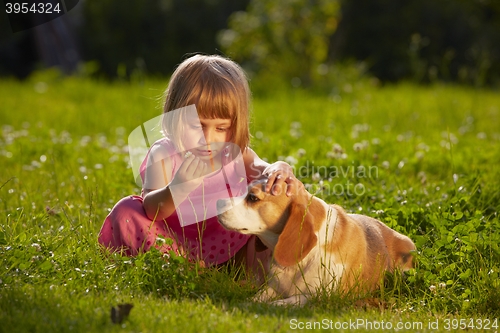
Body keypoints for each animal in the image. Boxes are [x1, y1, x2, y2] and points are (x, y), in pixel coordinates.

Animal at [217, 180, 416, 304]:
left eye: (253, 198)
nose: (218, 202)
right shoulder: (273, 288)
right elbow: (257, 298)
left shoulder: (324, 295)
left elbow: (295, 299)